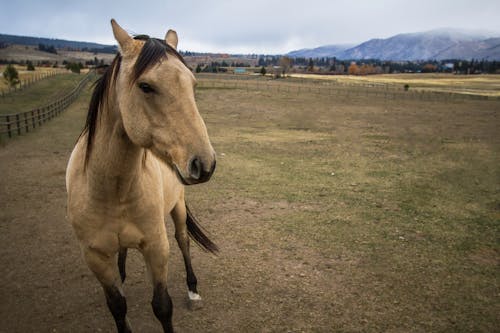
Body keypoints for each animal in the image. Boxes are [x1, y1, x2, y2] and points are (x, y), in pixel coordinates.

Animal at [65, 19, 217, 330]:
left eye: (192, 84)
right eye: (146, 86)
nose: (205, 163)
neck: (111, 189)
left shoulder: (156, 248)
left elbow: (162, 306)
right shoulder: (95, 257)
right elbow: (117, 306)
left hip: (178, 208)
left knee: (183, 240)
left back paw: (193, 290)